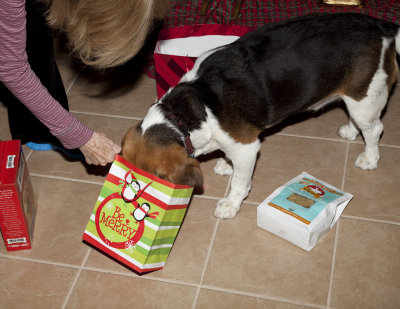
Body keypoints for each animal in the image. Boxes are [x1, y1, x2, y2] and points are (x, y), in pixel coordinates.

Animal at [122, 13, 400, 218]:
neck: (190, 108)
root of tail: (380, 26)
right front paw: (226, 164)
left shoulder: (247, 148)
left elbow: (239, 182)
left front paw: (230, 204)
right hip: (357, 100)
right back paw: (351, 132)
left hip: (364, 101)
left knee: (374, 130)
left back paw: (369, 158)